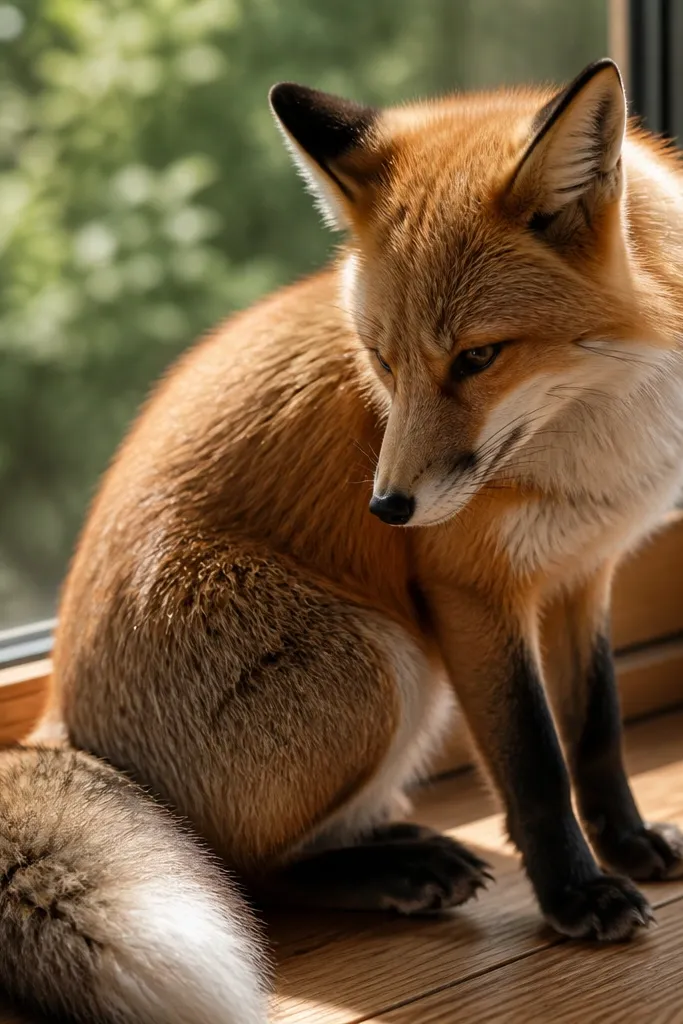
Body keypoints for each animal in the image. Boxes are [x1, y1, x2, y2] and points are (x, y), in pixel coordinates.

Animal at [2, 56, 683, 1023]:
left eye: (477, 357)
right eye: (383, 362)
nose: (388, 508)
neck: (598, 431)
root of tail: (59, 726)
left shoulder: (583, 571)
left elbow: (595, 732)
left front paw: (622, 845)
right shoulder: (469, 591)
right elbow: (534, 763)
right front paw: (573, 896)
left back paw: (394, 840)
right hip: (381, 662)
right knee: (246, 875)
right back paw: (398, 872)